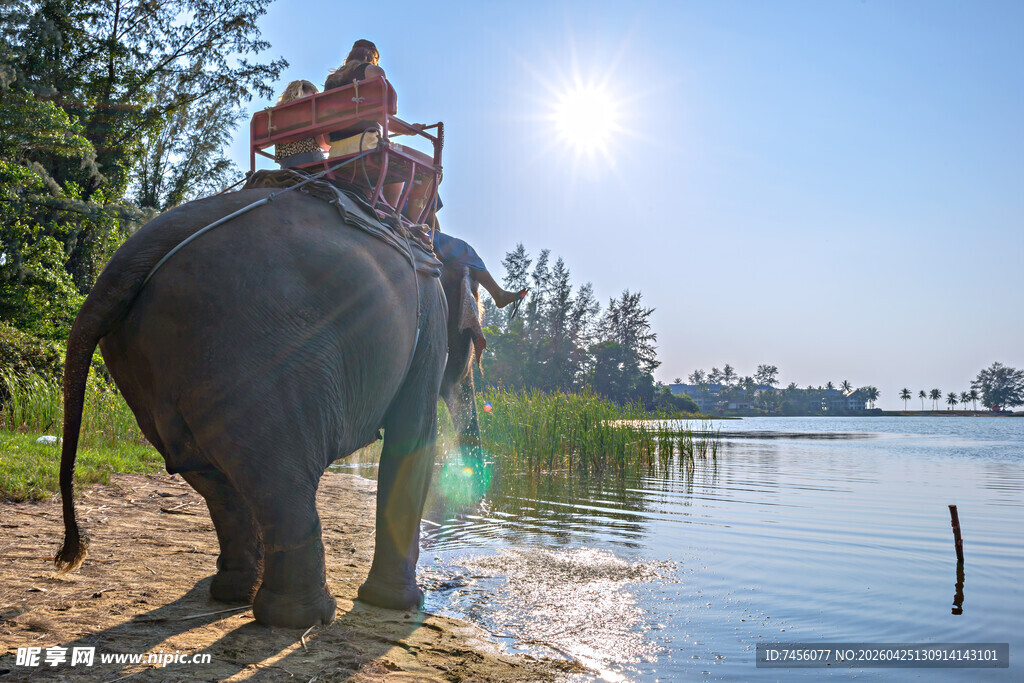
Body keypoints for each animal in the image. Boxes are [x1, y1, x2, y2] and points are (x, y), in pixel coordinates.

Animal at [54, 183, 485, 628]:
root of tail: (122, 264)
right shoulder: (428, 314)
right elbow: (412, 437)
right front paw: (399, 604)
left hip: (163, 366)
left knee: (215, 476)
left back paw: (235, 594)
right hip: (257, 353)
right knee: (282, 477)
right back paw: (302, 617)